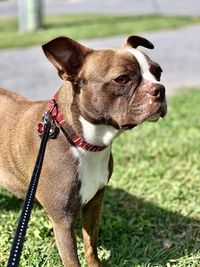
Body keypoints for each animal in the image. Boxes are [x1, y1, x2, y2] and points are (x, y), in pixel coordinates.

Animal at [0, 35, 167, 266]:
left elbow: (90, 246)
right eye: (122, 79)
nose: (160, 89)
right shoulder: (62, 222)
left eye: (158, 72)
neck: (81, 142)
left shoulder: (94, 204)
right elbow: (73, 260)